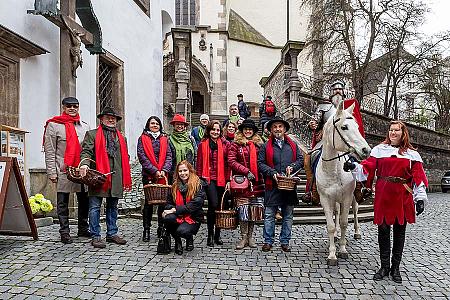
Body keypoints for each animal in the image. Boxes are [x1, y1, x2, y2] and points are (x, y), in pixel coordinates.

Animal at [314, 102, 370, 264]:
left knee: (355, 211)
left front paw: (343, 250)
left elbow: (345, 222)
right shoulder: (325, 199)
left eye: (357, 126)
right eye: (344, 127)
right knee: (337, 213)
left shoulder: (346, 197)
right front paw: (332, 254)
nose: (366, 150)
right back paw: (337, 235)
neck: (333, 170)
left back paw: (357, 232)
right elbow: (331, 225)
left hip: (353, 197)